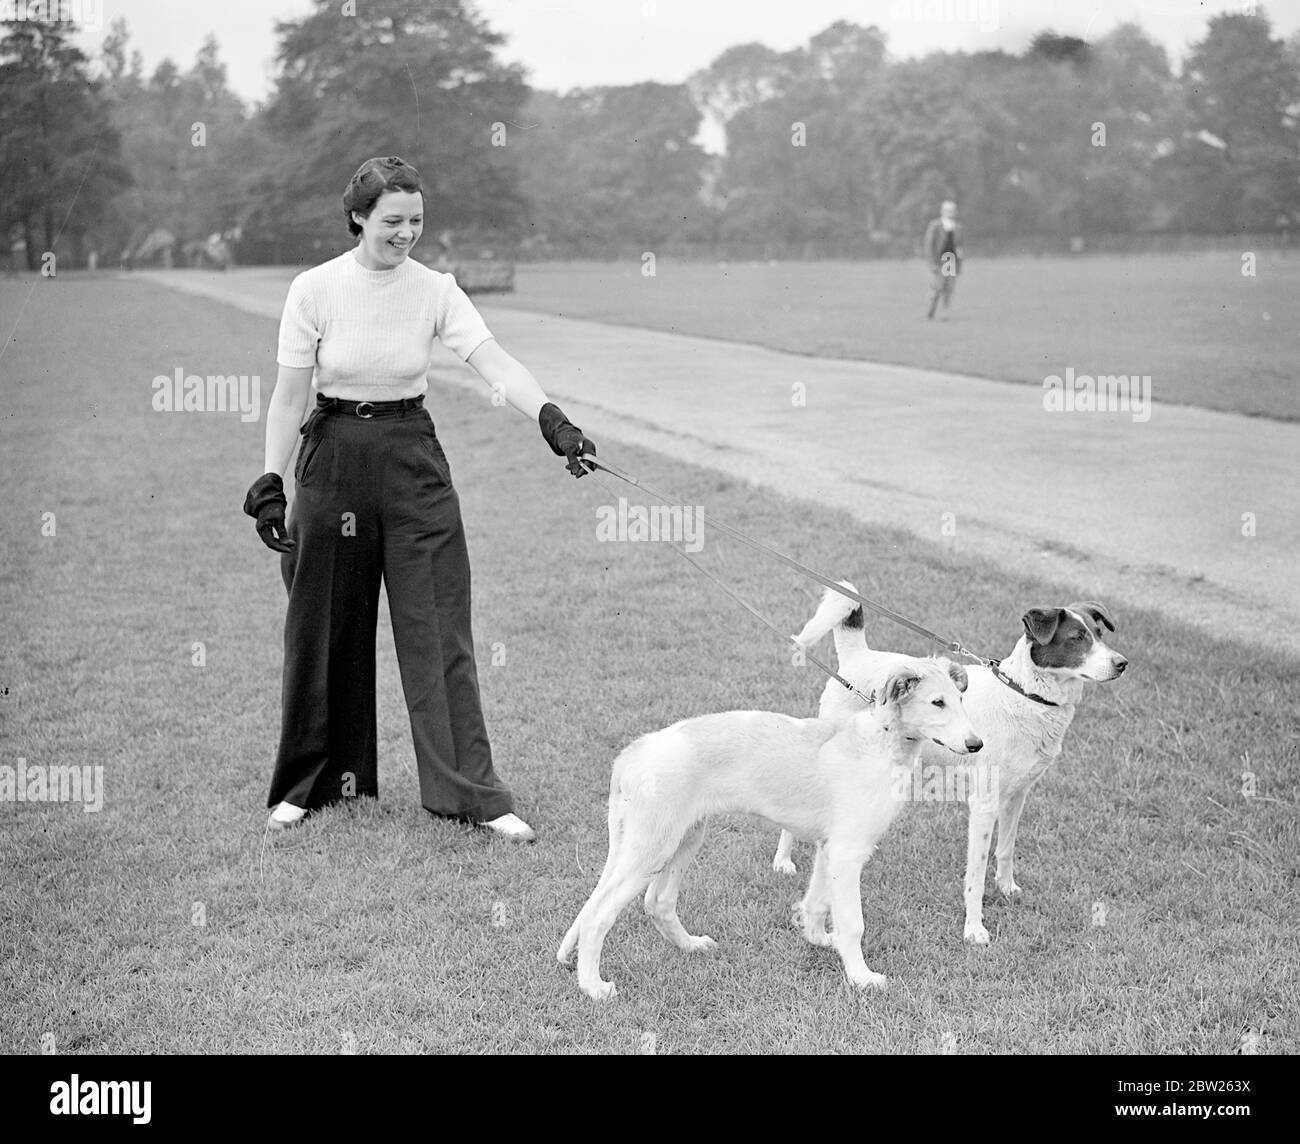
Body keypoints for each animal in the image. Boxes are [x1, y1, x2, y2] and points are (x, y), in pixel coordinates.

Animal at [553, 652, 977, 998]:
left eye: (960, 700)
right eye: (937, 703)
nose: (977, 745)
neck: (881, 743)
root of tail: (631, 754)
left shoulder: (829, 848)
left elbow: (817, 902)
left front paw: (820, 940)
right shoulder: (848, 851)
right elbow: (852, 922)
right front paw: (861, 978)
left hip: (683, 838)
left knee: (657, 903)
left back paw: (690, 946)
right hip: (652, 847)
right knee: (597, 916)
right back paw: (593, 987)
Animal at [769, 585, 1128, 941]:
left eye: (1099, 634)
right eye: (1076, 638)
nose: (1122, 663)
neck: (1023, 696)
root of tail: (859, 654)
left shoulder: (1017, 795)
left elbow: (1006, 849)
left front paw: (1007, 888)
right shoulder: (984, 804)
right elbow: (976, 876)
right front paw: (974, 929)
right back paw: (782, 862)